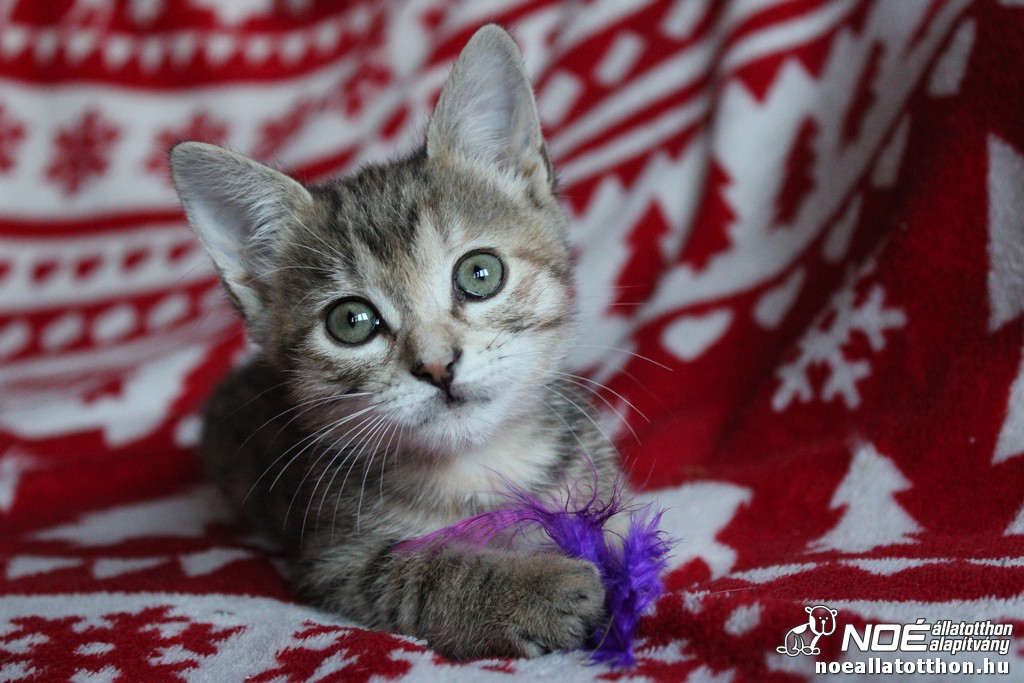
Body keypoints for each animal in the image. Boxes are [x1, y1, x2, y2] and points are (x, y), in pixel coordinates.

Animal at [170, 24, 623, 660]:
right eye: (351, 321)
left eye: (480, 273)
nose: (437, 365)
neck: (476, 470)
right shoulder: (336, 558)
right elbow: (424, 572)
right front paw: (535, 590)